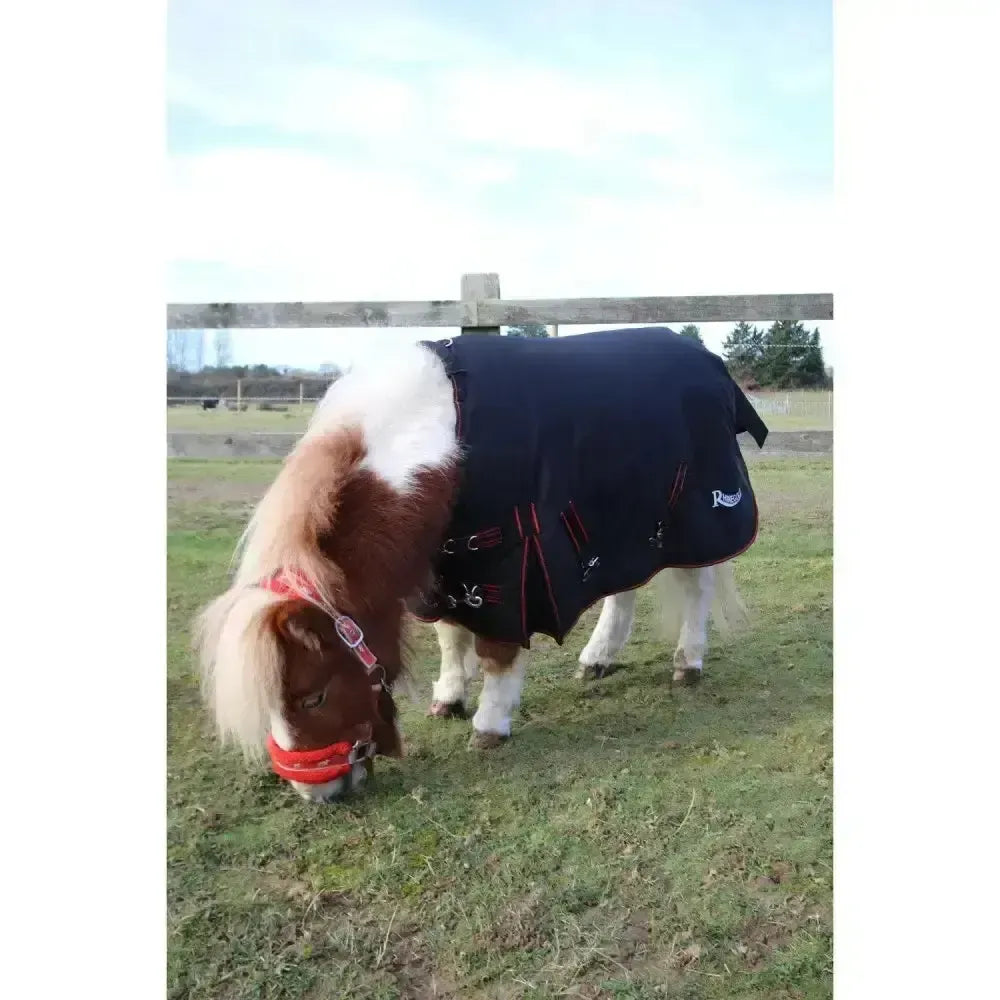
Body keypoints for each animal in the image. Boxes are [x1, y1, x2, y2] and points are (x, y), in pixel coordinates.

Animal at [195, 327, 768, 803]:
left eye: (312, 696)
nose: (317, 793)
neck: (440, 445)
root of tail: (707, 360)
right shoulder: (449, 567)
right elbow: (451, 635)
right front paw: (449, 698)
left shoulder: (504, 567)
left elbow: (496, 652)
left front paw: (490, 725)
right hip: (618, 522)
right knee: (622, 585)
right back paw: (598, 657)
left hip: (690, 521)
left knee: (695, 589)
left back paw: (687, 663)